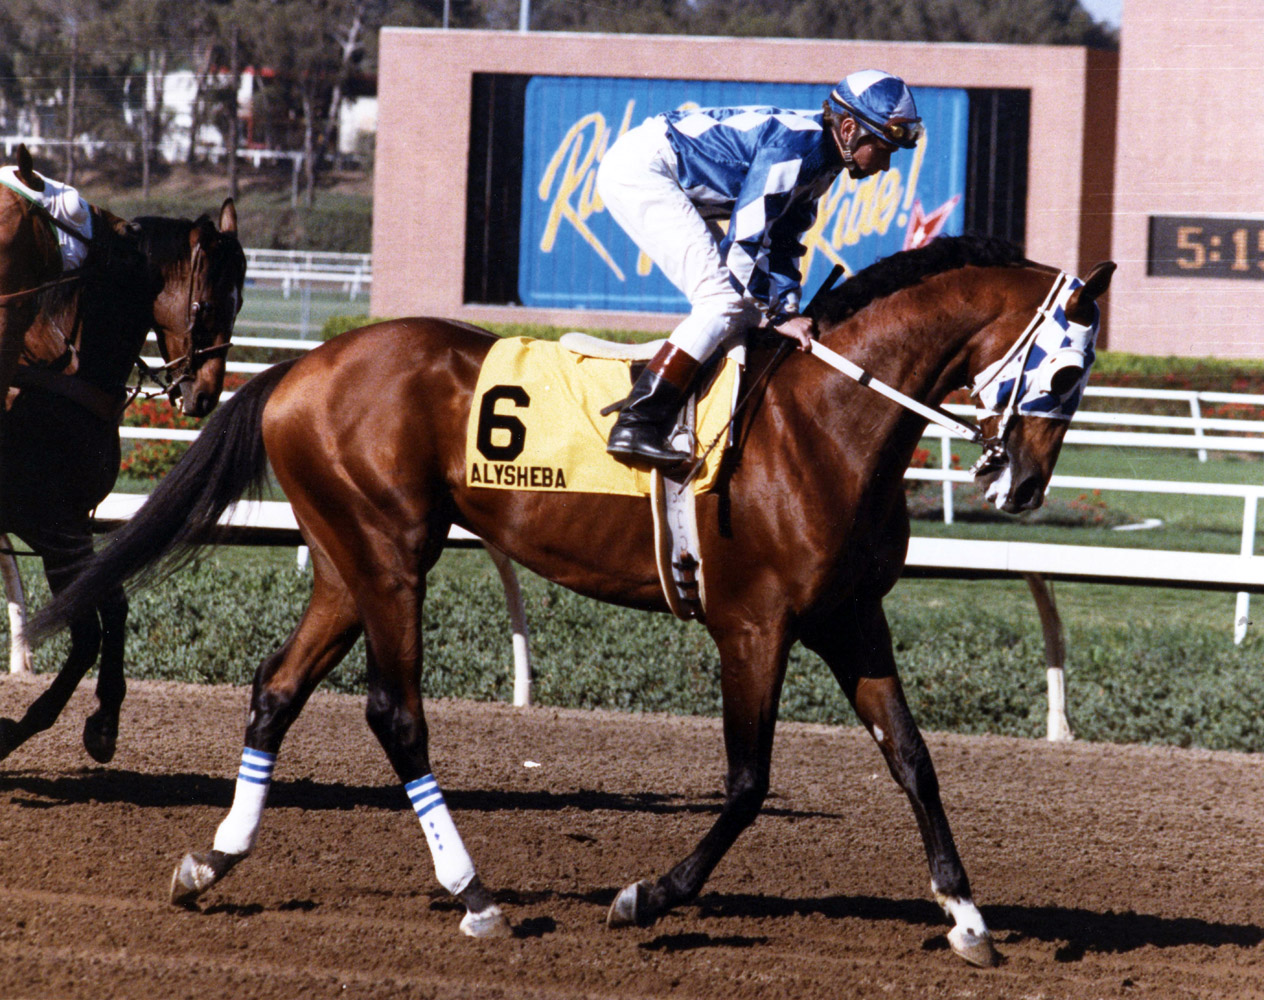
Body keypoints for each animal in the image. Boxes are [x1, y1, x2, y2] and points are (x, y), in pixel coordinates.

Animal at [0, 203, 245, 768]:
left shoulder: (71, 526)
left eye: (241, 301)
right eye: (206, 306)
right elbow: (89, 629)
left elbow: (112, 605)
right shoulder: (52, 525)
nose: (205, 395)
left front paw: (104, 722)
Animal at [27, 236, 1117, 970]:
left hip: (346, 560)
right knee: (395, 712)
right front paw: (648, 895)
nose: (1021, 485)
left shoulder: (850, 618)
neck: (827, 424)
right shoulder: (753, 624)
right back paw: (473, 894)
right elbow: (748, 781)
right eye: (1066, 365)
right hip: (389, 554)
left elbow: (915, 761)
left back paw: (213, 862)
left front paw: (968, 917)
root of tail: (303, 365)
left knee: (274, 693)